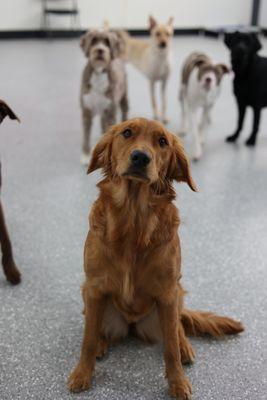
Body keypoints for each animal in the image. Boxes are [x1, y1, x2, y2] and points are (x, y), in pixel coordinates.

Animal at [80, 28, 129, 165]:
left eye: (107, 42)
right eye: (93, 41)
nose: (100, 50)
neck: (99, 73)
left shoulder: (111, 111)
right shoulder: (86, 111)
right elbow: (86, 135)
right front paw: (85, 155)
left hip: (123, 97)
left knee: (125, 111)